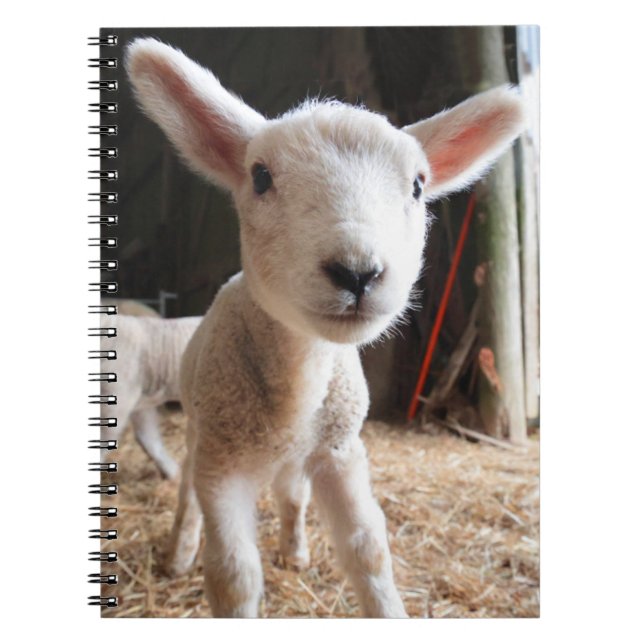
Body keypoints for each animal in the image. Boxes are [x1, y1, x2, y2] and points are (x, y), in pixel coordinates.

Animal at [126, 38, 525, 618]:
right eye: (260, 176)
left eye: (418, 185)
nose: (358, 272)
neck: (298, 387)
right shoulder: (223, 466)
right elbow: (234, 576)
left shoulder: (340, 450)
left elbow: (368, 550)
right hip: (203, 430)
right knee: (187, 492)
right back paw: (179, 552)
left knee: (292, 495)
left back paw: (294, 550)